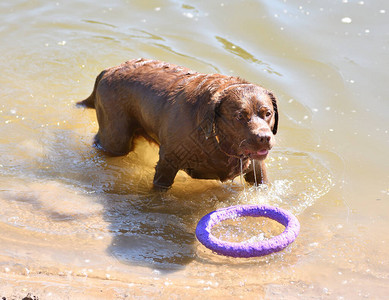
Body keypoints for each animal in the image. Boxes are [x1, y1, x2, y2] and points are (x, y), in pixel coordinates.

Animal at [77, 58, 278, 190]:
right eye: (240, 116)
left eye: (268, 113)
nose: (264, 137)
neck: (216, 138)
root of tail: (108, 69)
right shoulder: (168, 161)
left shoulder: (256, 167)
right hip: (116, 137)